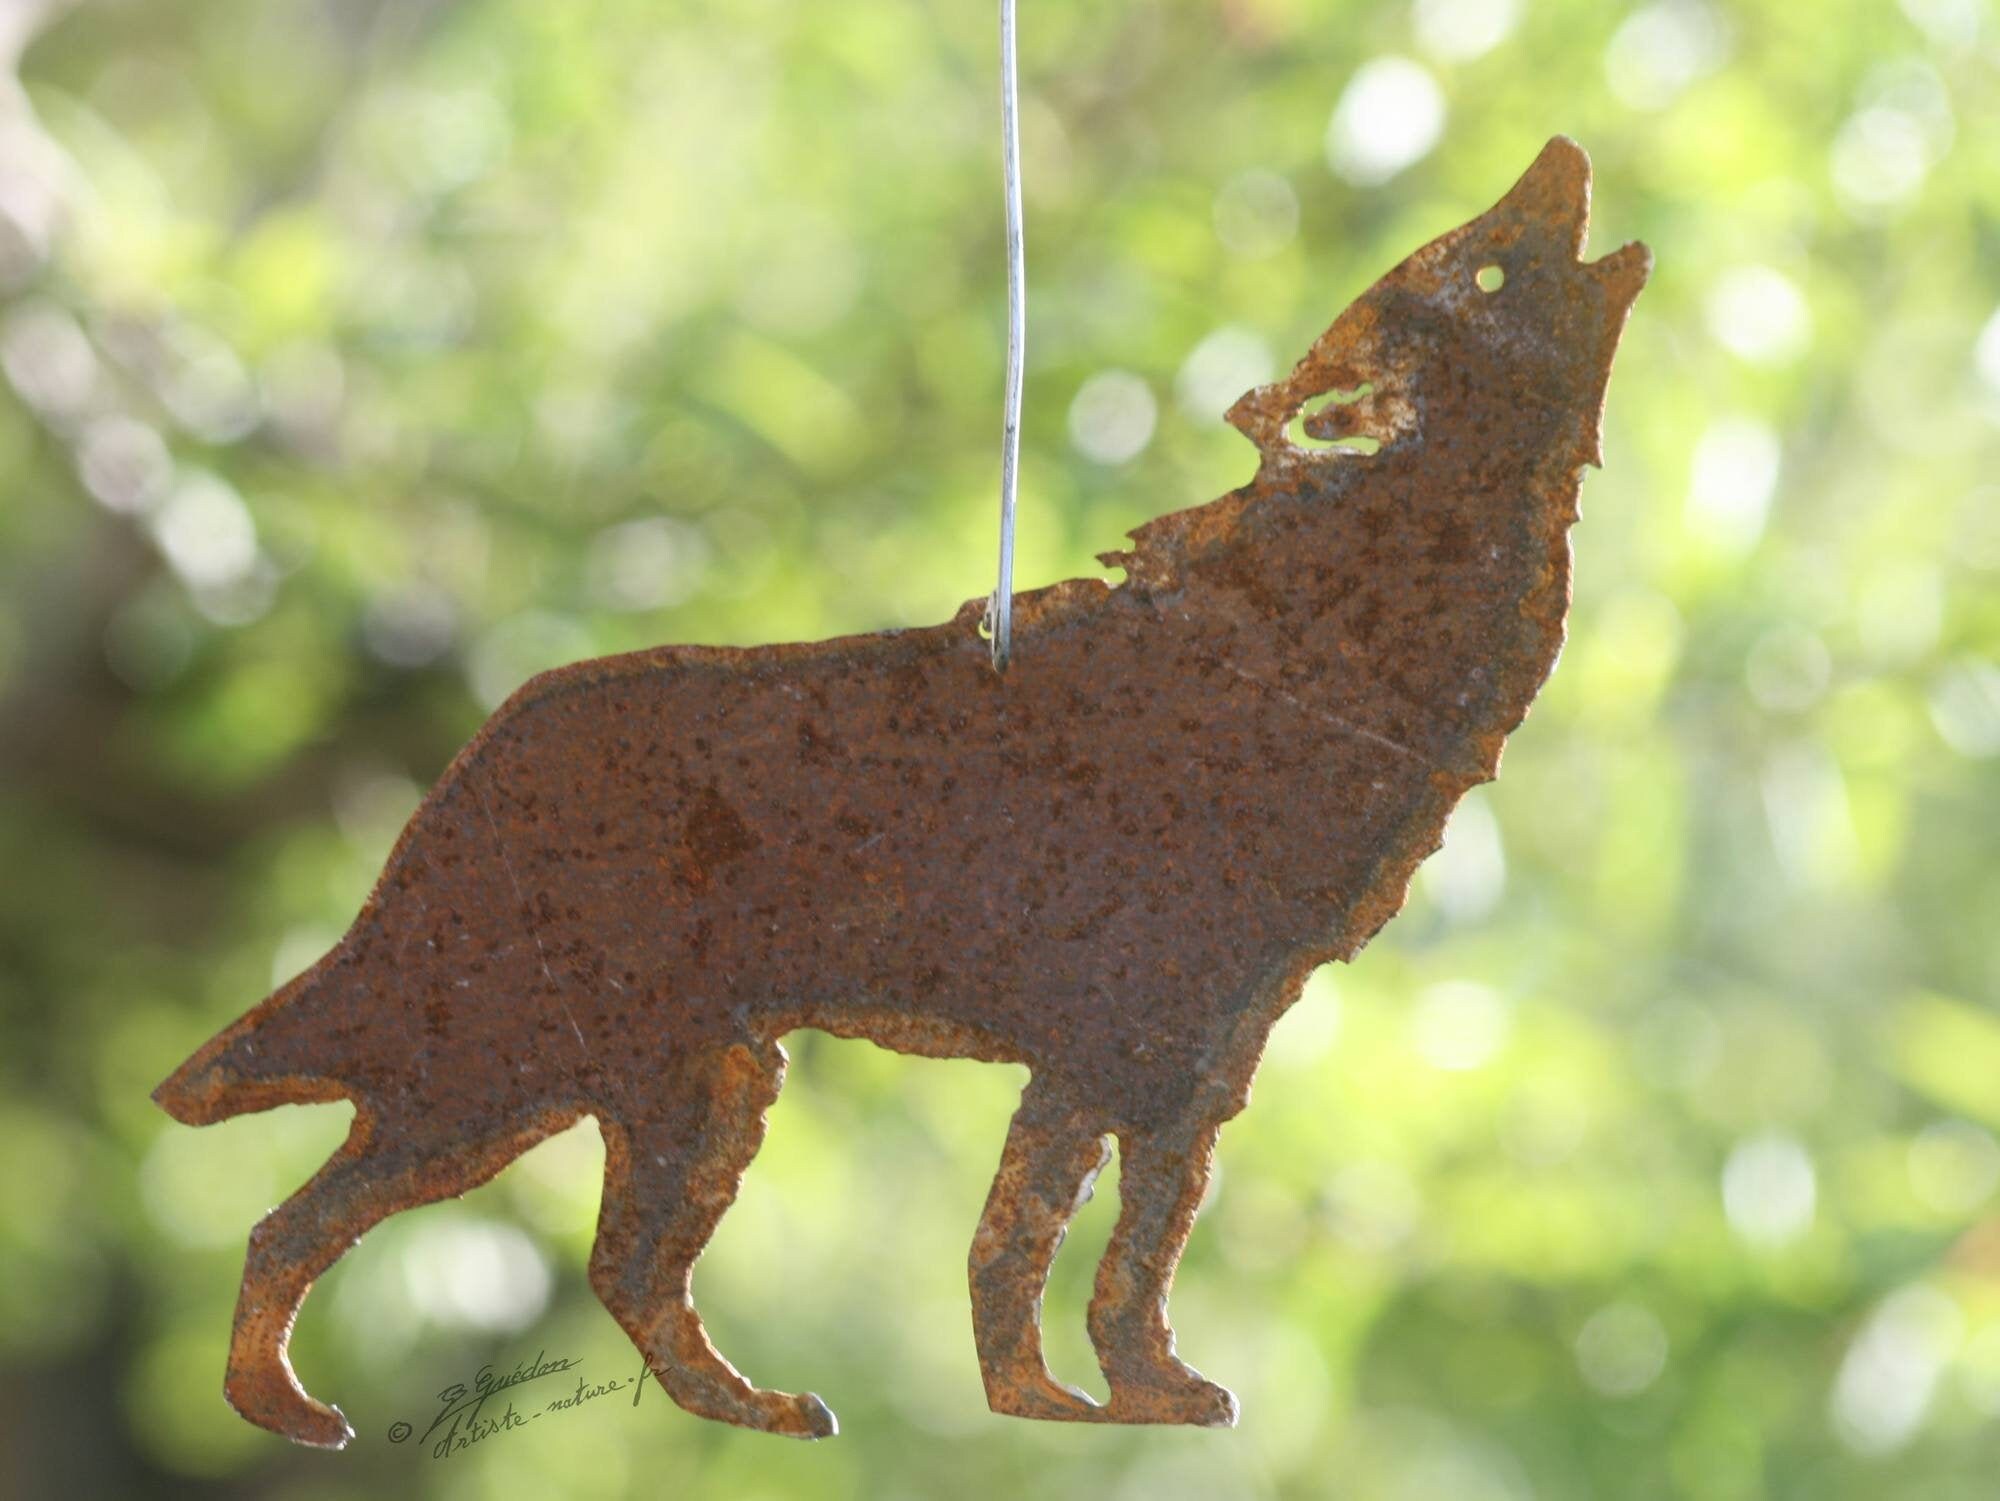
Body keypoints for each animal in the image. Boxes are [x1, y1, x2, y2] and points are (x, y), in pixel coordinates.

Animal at [153, 136, 1648, 1447]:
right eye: (1488, 266)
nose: (1564, 152)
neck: (1308, 642)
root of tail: (488, 752)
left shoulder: (1195, 1053)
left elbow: (1098, 1249)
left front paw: (1114, 1399)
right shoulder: (1131, 1044)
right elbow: (1058, 1248)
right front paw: (1080, 1403)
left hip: (694, 1080)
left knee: (620, 1270)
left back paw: (755, 1410)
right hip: (503, 1071)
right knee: (300, 1223)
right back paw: (295, 1413)